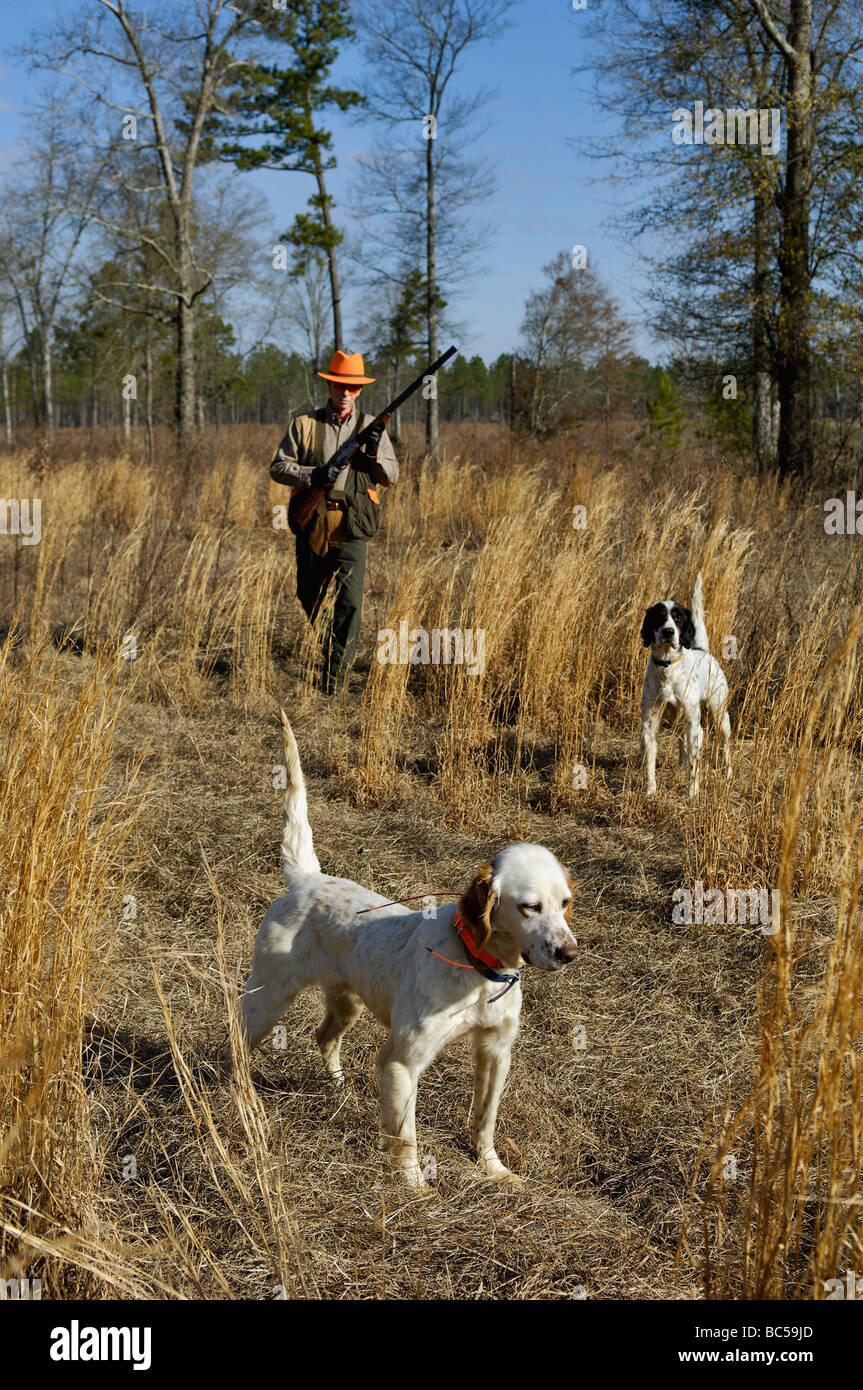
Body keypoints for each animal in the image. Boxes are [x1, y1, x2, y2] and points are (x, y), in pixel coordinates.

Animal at [225, 711, 575, 1189]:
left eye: (565, 903)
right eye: (529, 906)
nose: (569, 953)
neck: (477, 968)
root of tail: (308, 878)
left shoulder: (496, 1051)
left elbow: (484, 1121)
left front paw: (494, 1170)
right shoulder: (402, 1062)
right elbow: (406, 1137)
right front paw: (415, 1188)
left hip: (347, 1002)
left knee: (324, 1037)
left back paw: (340, 1089)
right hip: (267, 999)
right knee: (238, 1044)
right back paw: (241, 1100)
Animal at [636, 569, 728, 800]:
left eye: (678, 619)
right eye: (659, 616)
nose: (668, 631)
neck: (667, 667)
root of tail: (702, 650)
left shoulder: (694, 724)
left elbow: (696, 767)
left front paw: (693, 792)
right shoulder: (649, 724)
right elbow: (649, 762)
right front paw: (650, 790)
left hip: (720, 715)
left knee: (725, 747)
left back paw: (728, 773)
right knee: (683, 744)